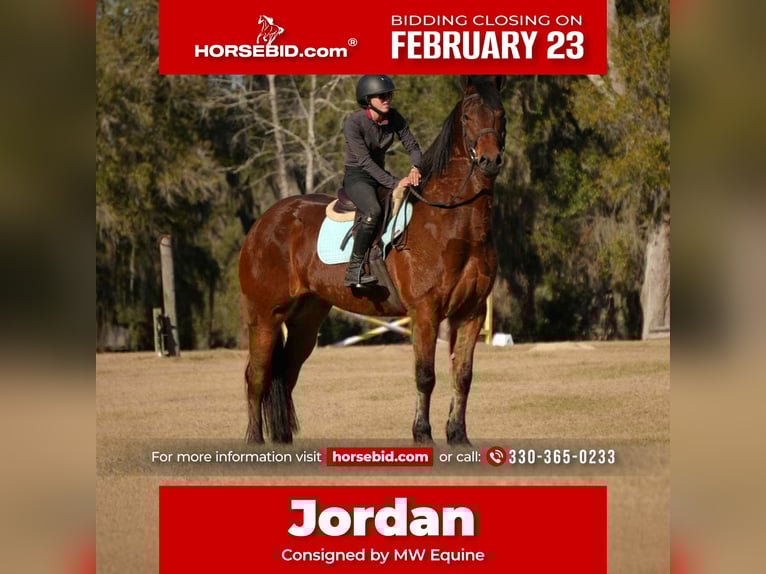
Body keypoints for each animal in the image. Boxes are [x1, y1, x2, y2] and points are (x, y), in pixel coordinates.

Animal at [238, 75, 506, 445]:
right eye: (467, 117)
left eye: (501, 114)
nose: (490, 161)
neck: (453, 222)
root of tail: (263, 223)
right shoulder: (425, 313)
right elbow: (425, 376)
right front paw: (422, 434)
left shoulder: (471, 313)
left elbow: (462, 376)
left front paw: (457, 436)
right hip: (264, 317)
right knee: (256, 376)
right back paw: (254, 441)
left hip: (305, 320)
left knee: (286, 374)